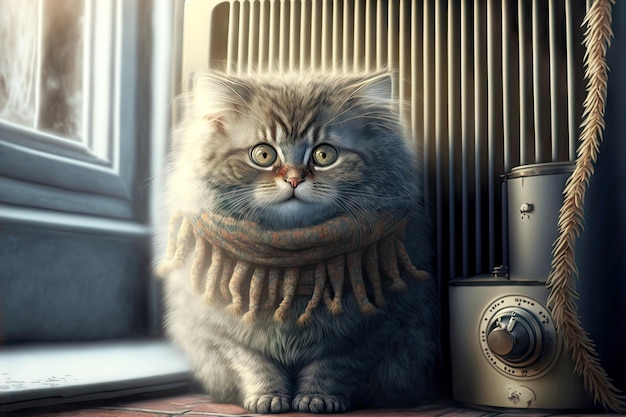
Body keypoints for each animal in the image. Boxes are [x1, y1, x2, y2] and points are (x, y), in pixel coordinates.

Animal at [158, 70, 436, 412]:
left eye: (324, 155)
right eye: (263, 154)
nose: (293, 179)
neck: (290, 266)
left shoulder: (367, 331)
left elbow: (331, 367)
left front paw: (317, 399)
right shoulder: (224, 331)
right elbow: (255, 364)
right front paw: (268, 398)